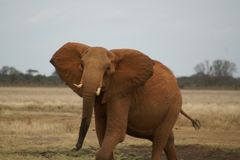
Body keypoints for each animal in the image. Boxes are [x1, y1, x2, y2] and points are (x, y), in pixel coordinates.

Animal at [50, 42, 201, 160]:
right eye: (81, 65)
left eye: (107, 69)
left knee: (160, 139)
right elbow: (101, 130)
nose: (76, 147)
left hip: (174, 105)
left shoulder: (122, 93)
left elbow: (116, 131)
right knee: (168, 140)